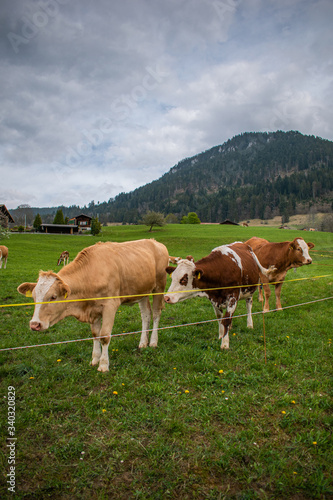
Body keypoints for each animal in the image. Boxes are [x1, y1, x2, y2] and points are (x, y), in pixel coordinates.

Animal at [17, 240, 169, 374]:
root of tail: (155, 242)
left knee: (156, 313)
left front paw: (103, 365)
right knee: (146, 315)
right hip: (142, 291)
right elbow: (95, 334)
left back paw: (153, 342)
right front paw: (95, 359)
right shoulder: (93, 310)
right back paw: (143, 342)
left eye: (53, 297)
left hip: (159, 287)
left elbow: (104, 336)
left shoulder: (110, 306)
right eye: (34, 297)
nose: (34, 324)